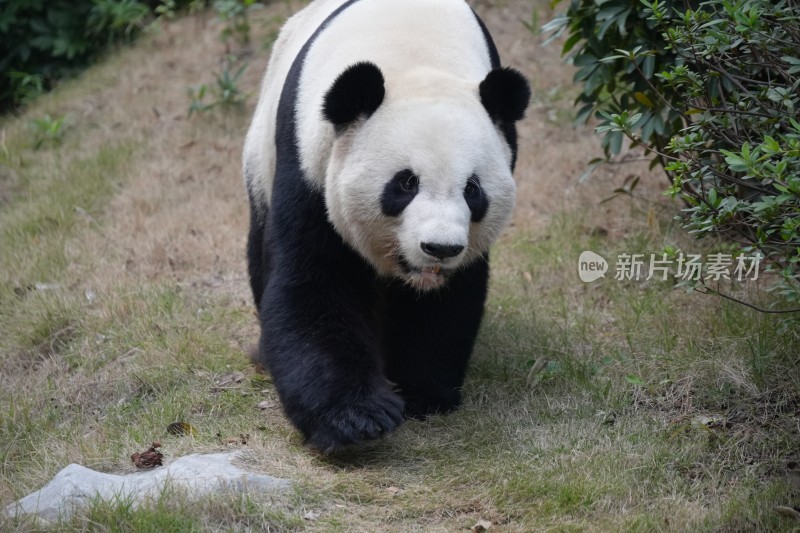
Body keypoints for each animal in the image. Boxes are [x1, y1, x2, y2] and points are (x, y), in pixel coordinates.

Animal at [244, 0, 532, 450]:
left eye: (472, 190)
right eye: (405, 183)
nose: (440, 249)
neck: (413, 53)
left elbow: (449, 300)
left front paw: (421, 394)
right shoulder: (308, 163)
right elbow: (315, 283)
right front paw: (357, 418)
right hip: (261, 157)